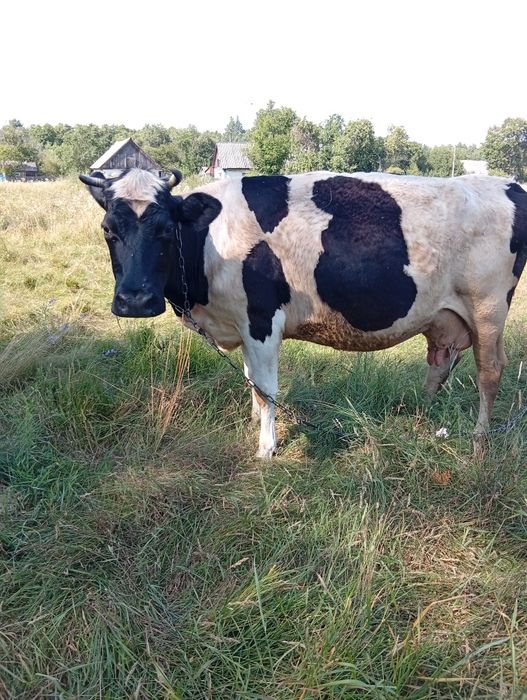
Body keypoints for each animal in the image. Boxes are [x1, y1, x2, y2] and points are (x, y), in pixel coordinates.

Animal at [80, 168, 527, 458]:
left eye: (164, 230)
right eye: (108, 229)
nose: (136, 300)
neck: (210, 242)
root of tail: (508, 184)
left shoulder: (262, 320)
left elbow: (266, 387)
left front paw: (266, 448)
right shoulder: (242, 324)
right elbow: (251, 381)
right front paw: (254, 426)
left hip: (488, 308)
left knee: (490, 370)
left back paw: (479, 439)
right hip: (446, 317)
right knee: (438, 364)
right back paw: (423, 416)